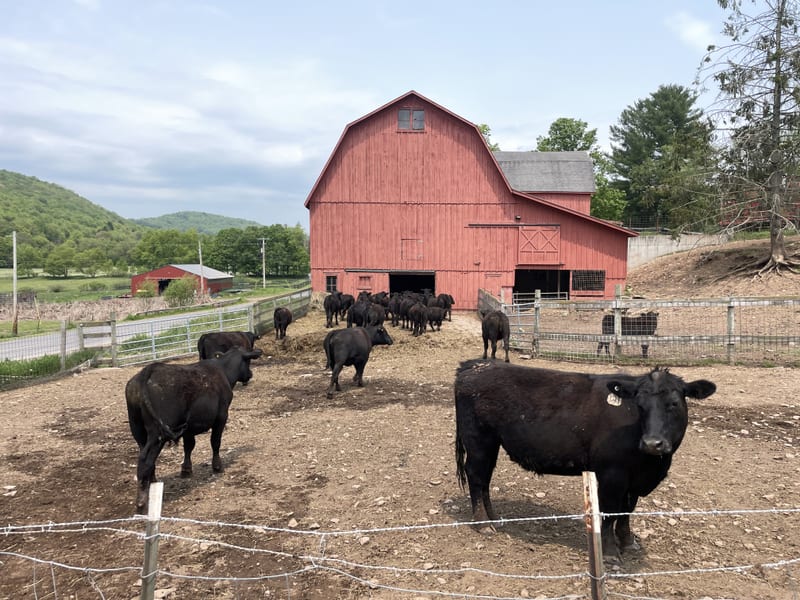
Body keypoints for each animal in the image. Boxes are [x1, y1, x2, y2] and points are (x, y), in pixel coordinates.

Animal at [125, 347, 263, 513]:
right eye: (248, 361)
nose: (250, 374)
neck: (222, 370)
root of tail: (147, 371)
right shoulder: (221, 416)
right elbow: (215, 442)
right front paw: (217, 466)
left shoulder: (189, 426)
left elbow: (189, 446)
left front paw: (186, 469)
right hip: (157, 433)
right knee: (145, 459)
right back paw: (142, 501)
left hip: (138, 430)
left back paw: (153, 483)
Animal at [453, 359, 716, 561]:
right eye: (639, 405)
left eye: (674, 404)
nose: (652, 443)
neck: (651, 466)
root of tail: (474, 366)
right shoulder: (612, 475)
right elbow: (610, 512)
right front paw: (609, 552)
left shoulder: (633, 481)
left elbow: (627, 511)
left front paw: (628, 542)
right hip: (478, 440)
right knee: (476, 476)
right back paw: (483, 524)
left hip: (491, 444)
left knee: (485, 479)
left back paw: (495, 519)